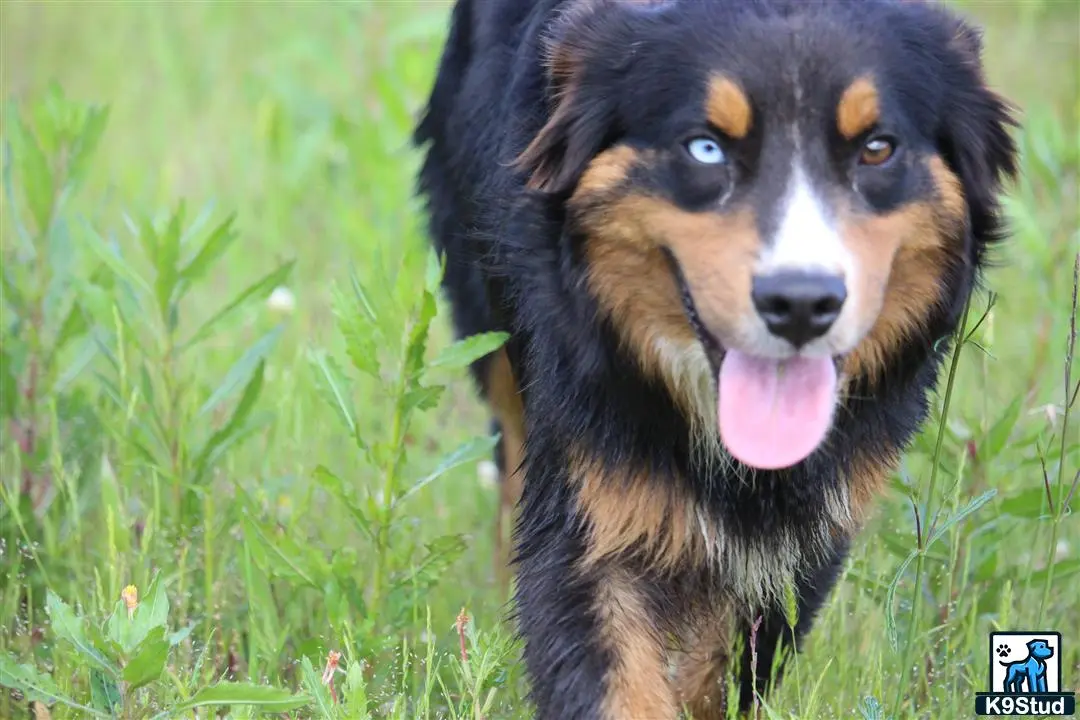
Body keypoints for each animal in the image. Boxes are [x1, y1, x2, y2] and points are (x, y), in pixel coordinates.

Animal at [408, 1, 1015, 716]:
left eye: (877, 148)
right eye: (706, 147)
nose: (800, 303)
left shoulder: (813, 522)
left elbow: (727, 661)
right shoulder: (594, 491)